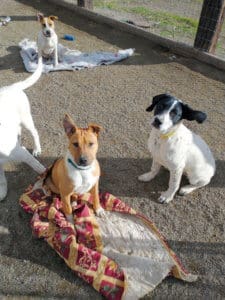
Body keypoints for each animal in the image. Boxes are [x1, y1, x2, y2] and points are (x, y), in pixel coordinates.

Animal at [0, 56, 45, 202]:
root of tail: (11, 87)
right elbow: (2, 179)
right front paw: (2, 191)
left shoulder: (21, 153)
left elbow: (38, 167)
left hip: (26, 119)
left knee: (35, 133)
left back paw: (36, 149)